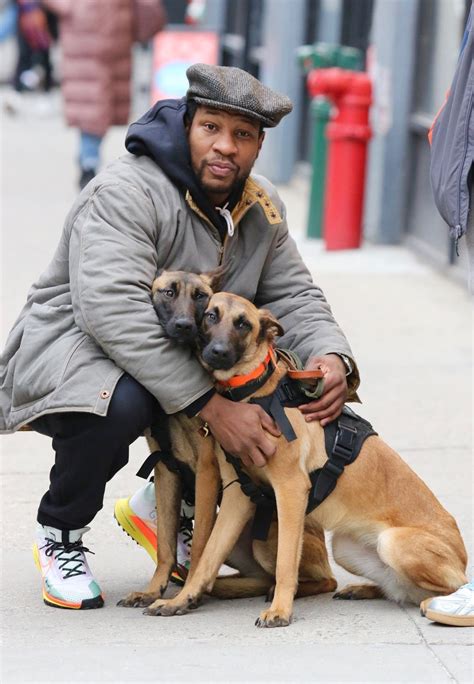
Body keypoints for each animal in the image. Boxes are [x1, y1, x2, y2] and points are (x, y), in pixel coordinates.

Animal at [143, 292, 466, 628]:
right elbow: (207, 555)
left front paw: (280, 610)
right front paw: (182, 599)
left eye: (243, 324)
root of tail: (462, 559)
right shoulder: (237, 495)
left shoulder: (290, 490)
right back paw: (364, 589)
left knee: (439, 588)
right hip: (343, 547)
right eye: (210, 315)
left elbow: (286, 562)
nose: (218, 353)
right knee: (398, 588)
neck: (253, 391)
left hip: (393, 543)